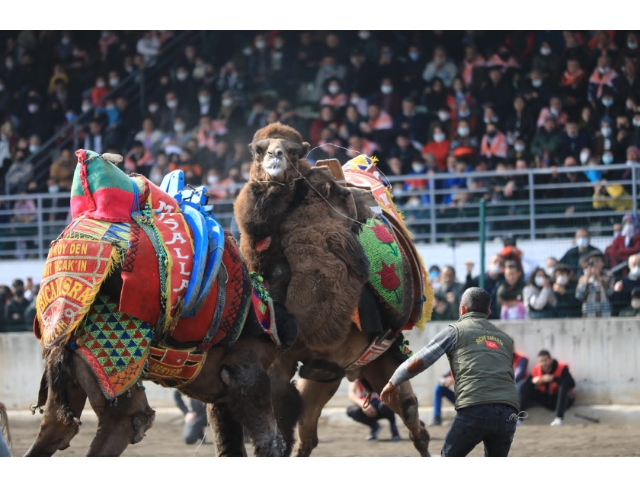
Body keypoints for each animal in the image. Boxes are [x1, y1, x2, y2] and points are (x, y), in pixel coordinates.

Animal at [24, 152, 296, 458]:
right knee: (128, 420)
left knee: (56, 428)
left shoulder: (222, 393)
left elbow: (231, 446)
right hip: (112, 360)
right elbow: (270, 443)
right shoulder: (246, 372)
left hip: (68, 369)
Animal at [232, 123, 432, 458]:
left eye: (294, 152)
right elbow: (283, 422)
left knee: (408, 410)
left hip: (383, 355)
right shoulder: (285, 361)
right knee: (308, 434)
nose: (275, 158)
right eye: (258, 150)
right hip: (341, 371)